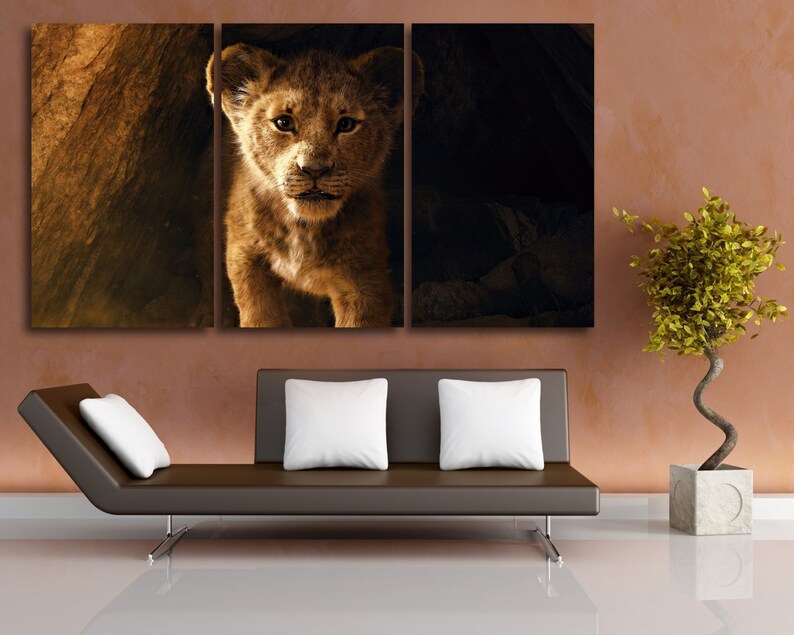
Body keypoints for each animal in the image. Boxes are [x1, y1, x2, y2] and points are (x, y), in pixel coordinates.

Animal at [206, 44, 423, 327]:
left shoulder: (365, 278)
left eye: (346, 124)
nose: (314, 169)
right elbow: (261, 316)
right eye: (284, 123)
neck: (304, 229)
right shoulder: (245, 258)